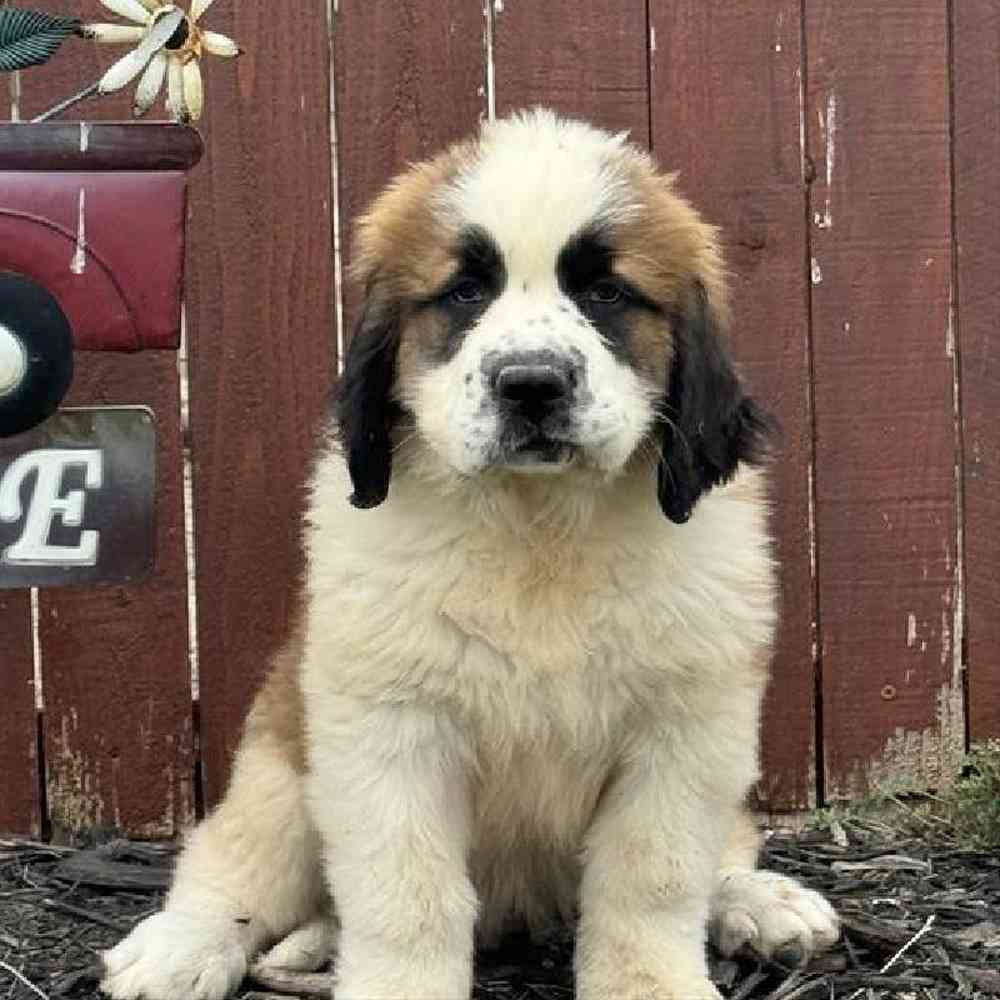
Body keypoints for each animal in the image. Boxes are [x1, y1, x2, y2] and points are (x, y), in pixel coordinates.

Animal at [101, 109, 836, 1000]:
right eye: (463, 293)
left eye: (606, 293)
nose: (532, 383)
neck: (538, 529)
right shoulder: (389, 731)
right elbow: (407, 891)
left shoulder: (688, 730)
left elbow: (652, 876)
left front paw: (651, 981)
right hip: (280, 771)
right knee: (233, 868)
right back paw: (183, 946)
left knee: (724, 850)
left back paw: (759, 902)